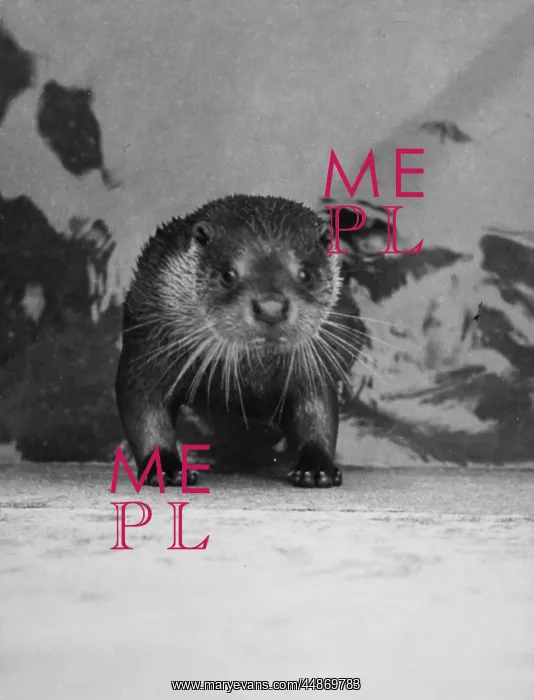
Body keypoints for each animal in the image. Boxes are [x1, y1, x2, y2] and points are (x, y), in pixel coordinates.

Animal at [115, 194, 365, 488]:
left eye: (305, 274)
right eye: (228, 275)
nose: (271, 307)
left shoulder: (311, 364)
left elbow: (317, 410)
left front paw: (316, 468)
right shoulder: (150, 339)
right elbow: (143, 403)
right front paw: (166, 468)